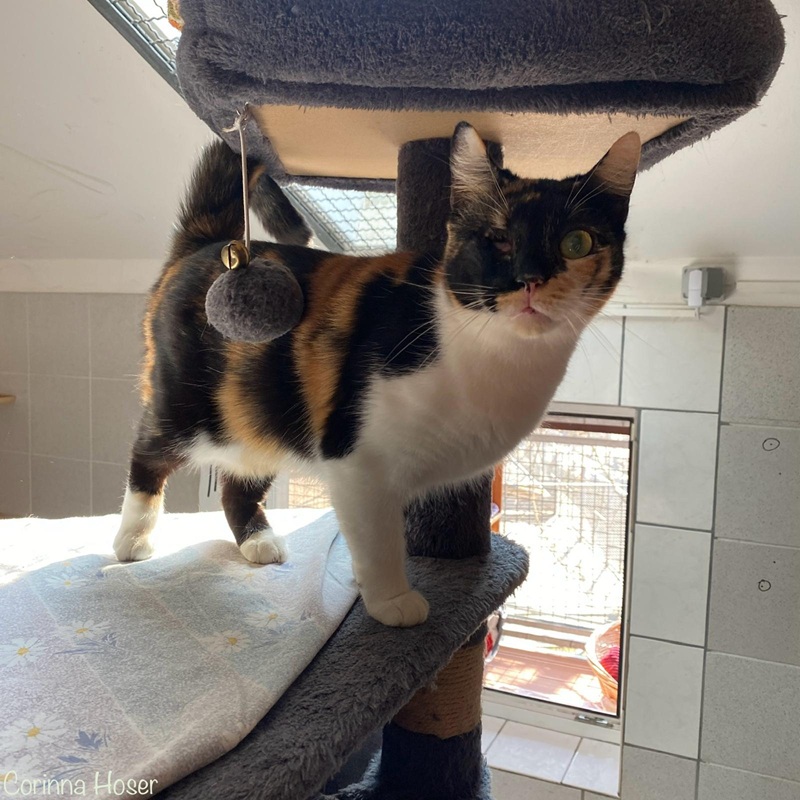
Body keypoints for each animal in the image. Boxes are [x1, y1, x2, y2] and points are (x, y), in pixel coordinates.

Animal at [114, 122, 640, 627]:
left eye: (577, 243)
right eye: (499, 238)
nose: (530, 279)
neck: (497, 360)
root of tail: (210, 244)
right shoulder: (358, 464)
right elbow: (380, 541)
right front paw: (391, 601)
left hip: (262, 416)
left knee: (237, 483)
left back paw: (258, 541)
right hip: (194, 409)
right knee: (148, 450)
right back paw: (132, 539)